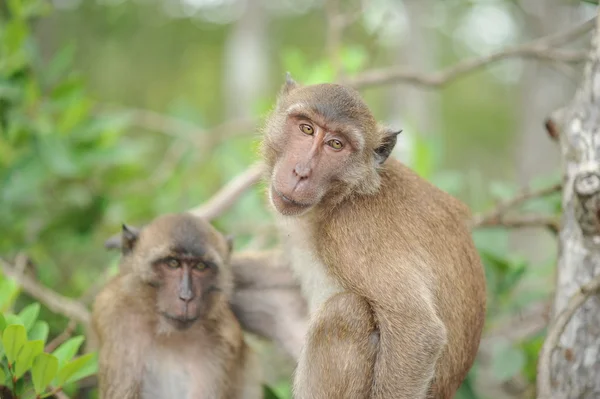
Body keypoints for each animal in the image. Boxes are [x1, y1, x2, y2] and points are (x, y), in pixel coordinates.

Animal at [92, 214, 262, 399]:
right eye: (173, 263)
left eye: (200, 266)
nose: (186, 297)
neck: (167, 333)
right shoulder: (115, 317)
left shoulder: (224, 341)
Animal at [262, 76, 488, 399]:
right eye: (307, 129)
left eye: (336, 145)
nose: (301, 172)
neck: (342, 198)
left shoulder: (352, 232)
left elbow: (417, 329)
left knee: (345, 313)